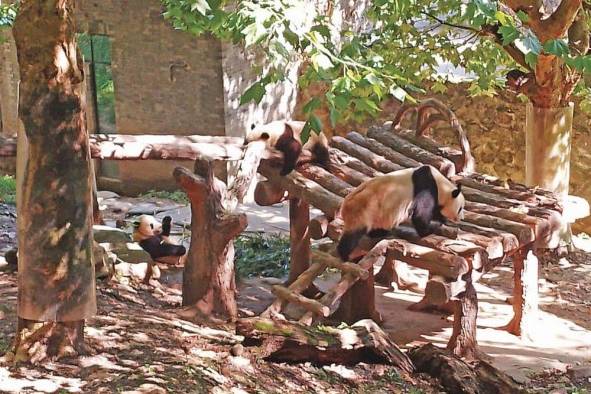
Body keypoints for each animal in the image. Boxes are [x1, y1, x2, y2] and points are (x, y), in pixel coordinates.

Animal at [338, 165, 468, 262]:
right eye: (460, 208)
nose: (461, 218)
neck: (441, 185)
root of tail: (344, 206)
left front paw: (442, 219)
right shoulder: (426, 188)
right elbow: (421, 215)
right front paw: (431, 228)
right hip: (364, 208)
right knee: (353, 235)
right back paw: (347, 256)